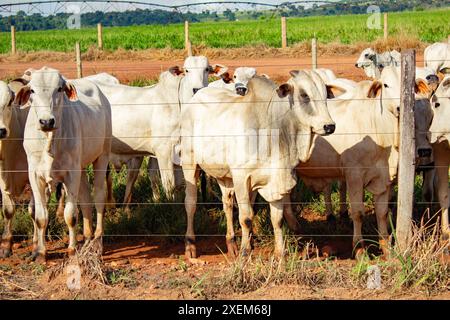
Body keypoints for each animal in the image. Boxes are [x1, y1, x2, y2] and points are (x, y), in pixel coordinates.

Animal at [15, 67, 112, 262]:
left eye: (59, 89)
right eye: (32, 90)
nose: (46, 121)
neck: (49, 139)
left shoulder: (71, 173)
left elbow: (71, 215)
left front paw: (72, 249)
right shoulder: (35, 175)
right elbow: (41, 217)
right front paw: (40, 253)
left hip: (102, 156)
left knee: (99, 197)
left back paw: (97, 241)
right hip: (81, 167)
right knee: (85, 199)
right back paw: (87, 239)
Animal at [181, 71, 336, 258]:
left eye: (326, 95)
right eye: (304, 95)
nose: (329, 126)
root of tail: (197, 96)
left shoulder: (276, 180)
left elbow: (277, 219)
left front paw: (280, 252)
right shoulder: (241, 178)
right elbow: (246, 217)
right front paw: (245, 251)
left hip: (225, 176)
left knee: (227, 204)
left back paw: (231, 242)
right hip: (189, 163)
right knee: (190, 204)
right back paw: (190, 245)